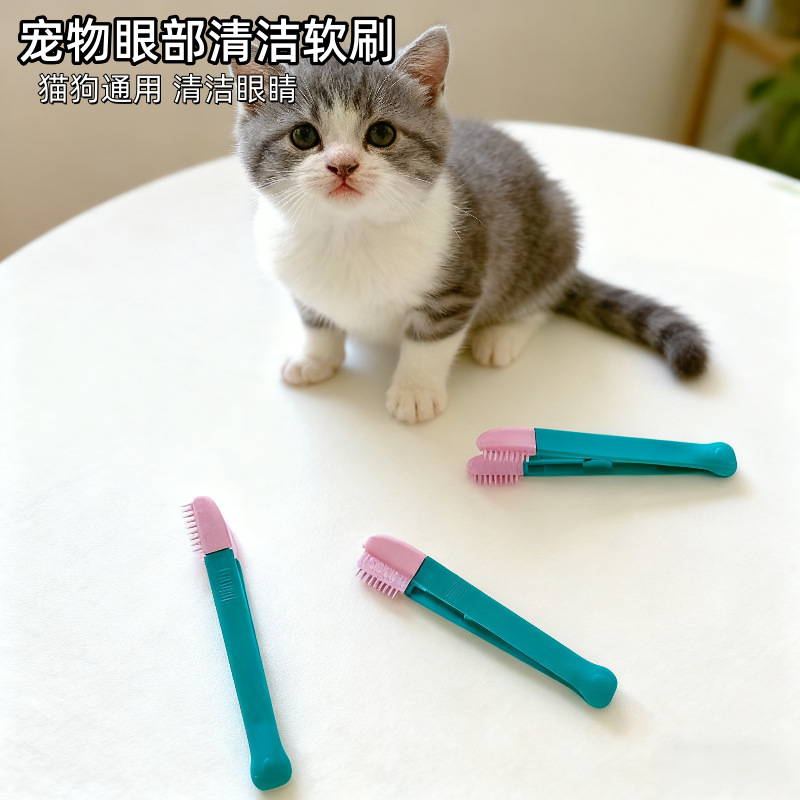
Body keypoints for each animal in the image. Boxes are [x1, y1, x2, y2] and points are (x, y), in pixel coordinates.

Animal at [232, 26, 707, 424]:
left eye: (382, 134)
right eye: (303, 136)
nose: (343, 165)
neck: (349, 234)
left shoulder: (458, 280)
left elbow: (430, 342)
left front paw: (415, 392)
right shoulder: (301, 282)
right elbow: (318, 322)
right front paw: (316, 358)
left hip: (555, 227)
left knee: (544, 295)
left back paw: (502, 335)